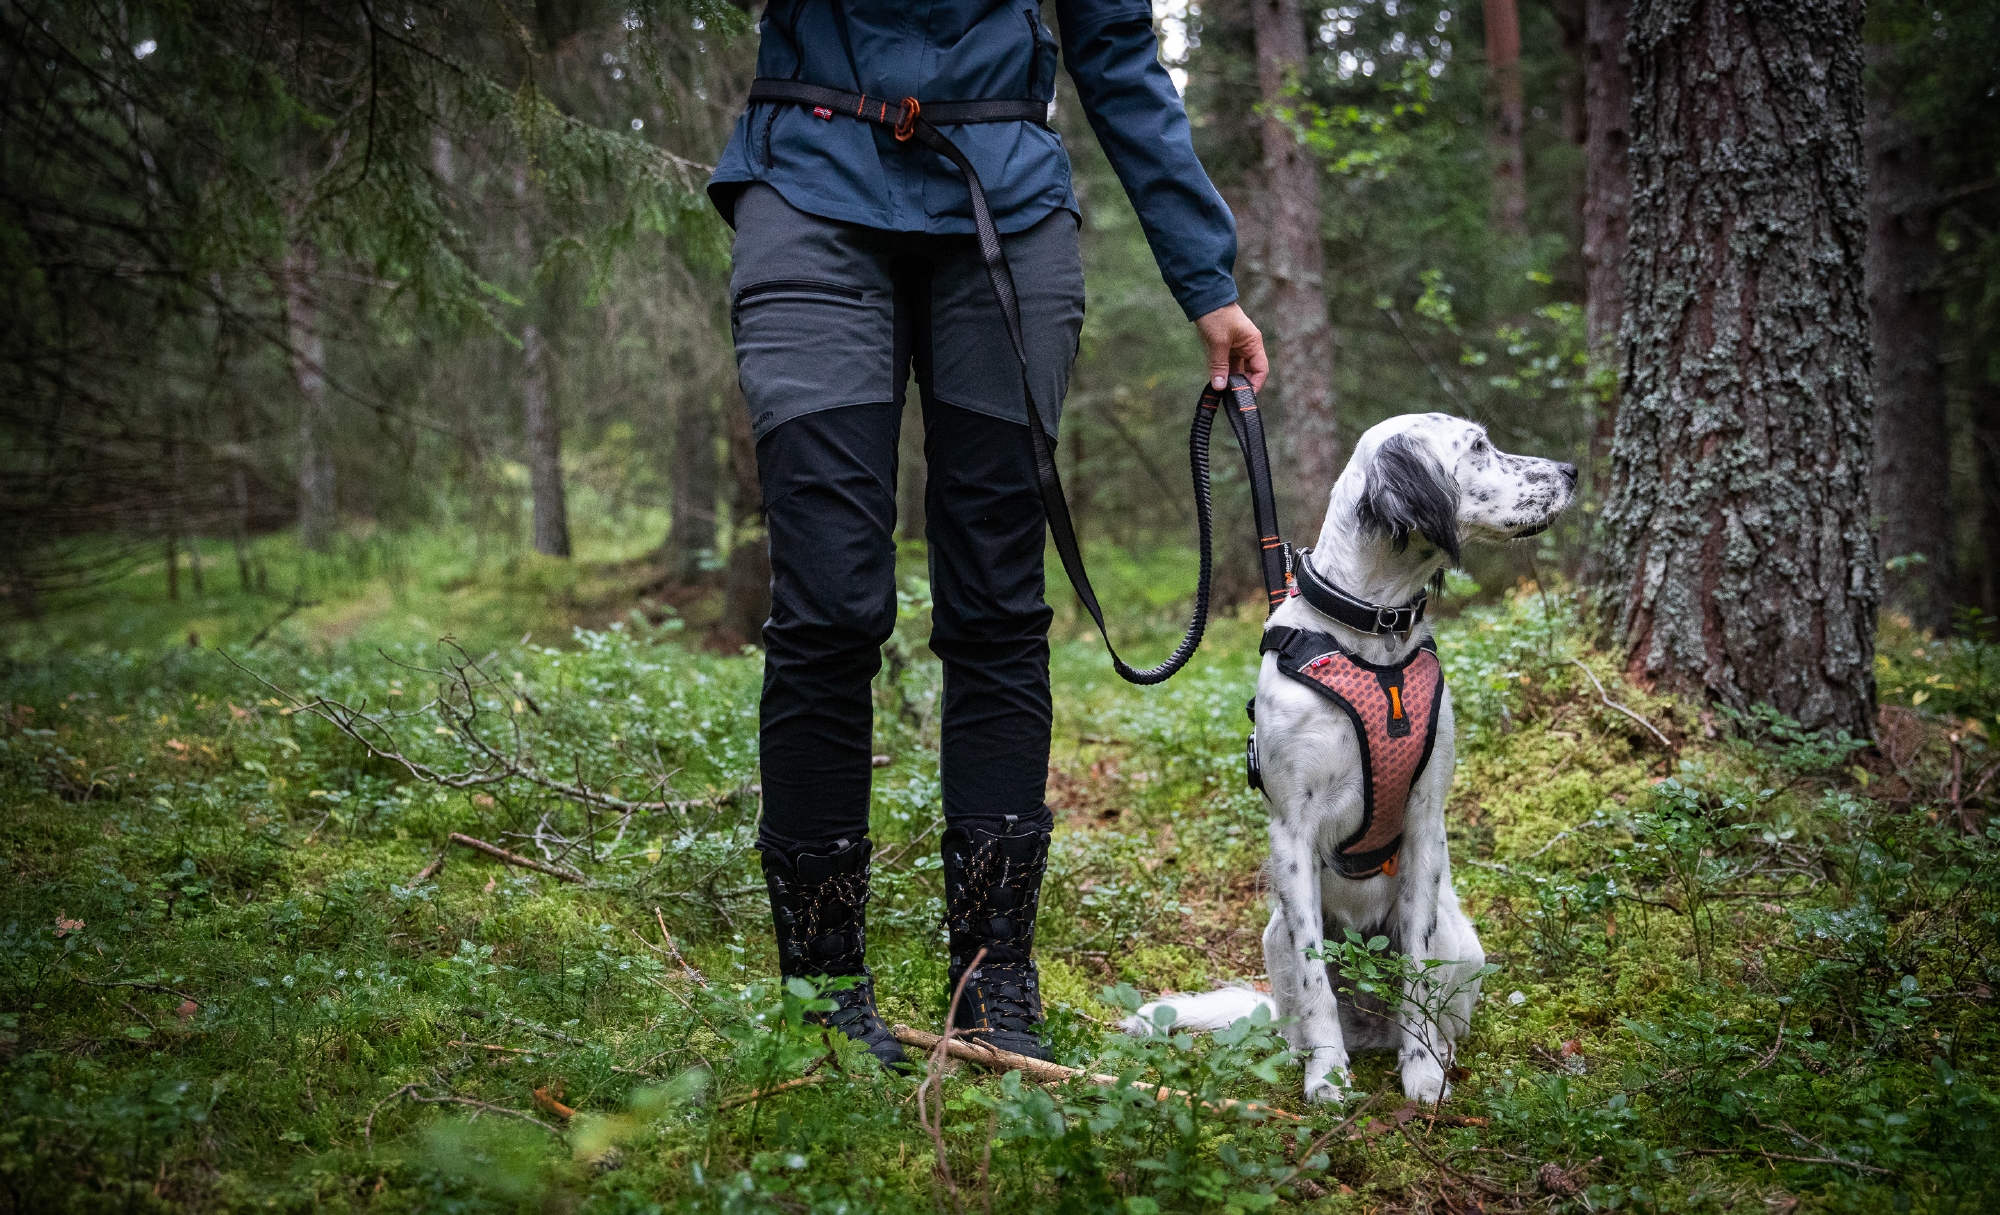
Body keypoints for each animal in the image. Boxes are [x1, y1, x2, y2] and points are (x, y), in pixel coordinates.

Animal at [1128, 413, 1576, 1103]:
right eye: (1478, 447)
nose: (1572, 472)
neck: (1373, 634)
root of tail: (1370, 1029)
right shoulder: (1292, 831)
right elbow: (1316, 981)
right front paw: (1327, 1077)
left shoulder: (1425, 824)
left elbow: (1417, 971)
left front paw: (1422, 1073)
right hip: (1275, 936)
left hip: (1463, 941)